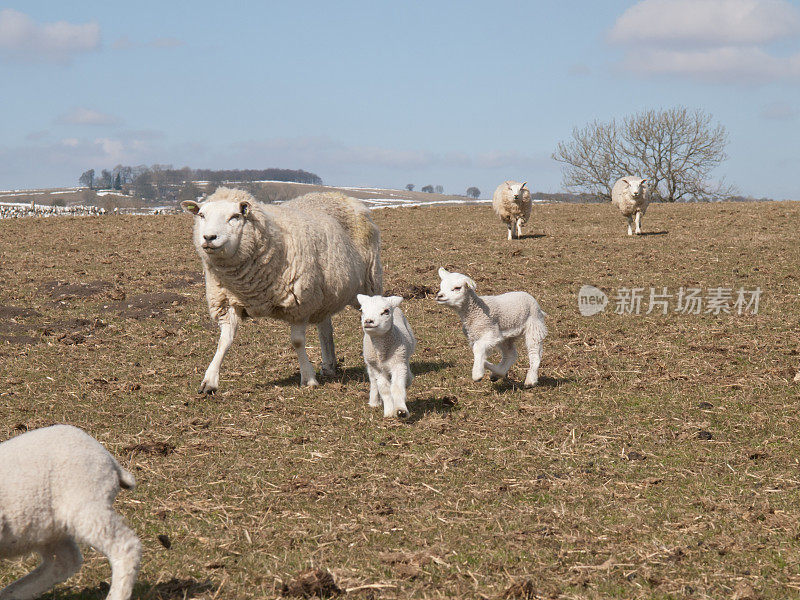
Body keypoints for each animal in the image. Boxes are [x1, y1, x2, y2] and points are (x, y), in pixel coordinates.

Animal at [0, 424, 142, 600]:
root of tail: (107, 456)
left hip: (86, 504)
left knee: (125, 547)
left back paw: (116, 595)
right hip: (45, 525)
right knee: (64, 561)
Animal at [183, 189, 382, 394]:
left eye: (235, 216)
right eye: (201, 215)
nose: (209, 237)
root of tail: (338, 195)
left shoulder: (300, 304)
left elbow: (297, 341)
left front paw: (308, 378)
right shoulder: (227, 303)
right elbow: (224, 341)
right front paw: (209, 381)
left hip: (369, 281)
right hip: (323, 293)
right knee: (325, 326)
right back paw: (329, 365)